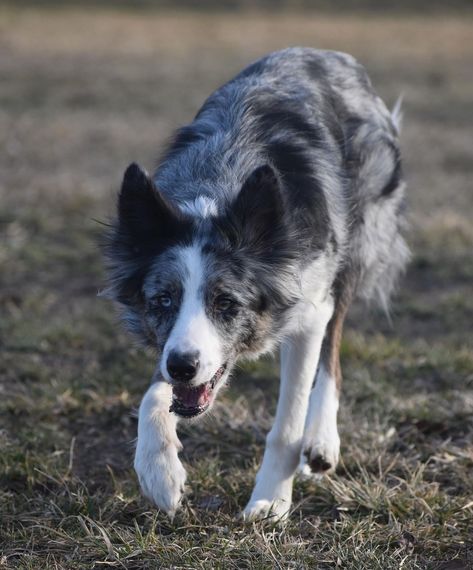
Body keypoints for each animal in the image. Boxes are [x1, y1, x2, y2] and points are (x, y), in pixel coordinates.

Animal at [102, 47, 406, 520]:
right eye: (163, 300)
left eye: (226, 302)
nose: (183, 367)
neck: (218, 186)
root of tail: (327, 53)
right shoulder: (173, 349)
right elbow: (154, 394)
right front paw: (159, 472)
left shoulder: (309, 307)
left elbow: (287, 422)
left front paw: (271, 500)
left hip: (352, 250)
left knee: (333, 353)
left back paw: (322, 441)